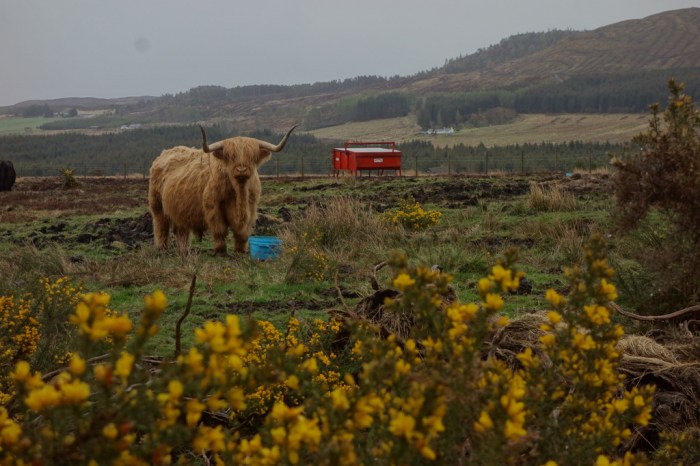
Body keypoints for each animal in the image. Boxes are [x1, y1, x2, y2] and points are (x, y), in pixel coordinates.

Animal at [148, 125, 297, 256]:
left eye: (251, 156)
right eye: (230, 156)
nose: (241, 169)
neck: (239, 192)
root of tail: (165, 153)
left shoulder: (251, 207)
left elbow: (242, 232)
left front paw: (240, 251)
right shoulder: (213, 206)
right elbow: (220, 230)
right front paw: (220, 251)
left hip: (180, 209)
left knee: (181, 230)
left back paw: (184, 250)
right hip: (157, 205)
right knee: (160, 226)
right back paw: (161, 249)